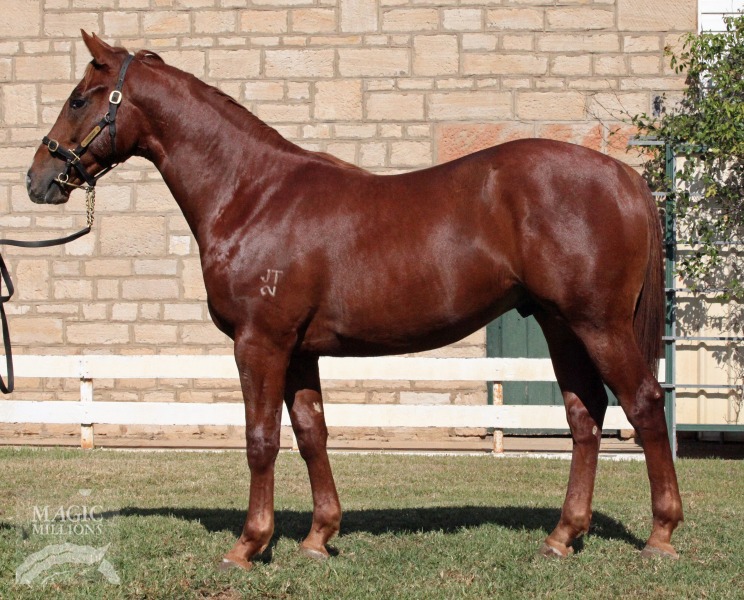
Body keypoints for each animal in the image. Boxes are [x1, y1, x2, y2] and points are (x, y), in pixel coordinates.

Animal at [26, 32, 683, 568]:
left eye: (80, 98)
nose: (38, 179)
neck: (252, 194)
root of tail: (625, 176)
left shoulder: (260, 343)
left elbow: (260, 439)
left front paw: (248, 545)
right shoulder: (298, 351)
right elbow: (311, 433)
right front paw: (319, 538)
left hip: (598, 324)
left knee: (644, 405)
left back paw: (661, 535)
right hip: (559, 324)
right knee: (585, 416)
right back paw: (562, 536)